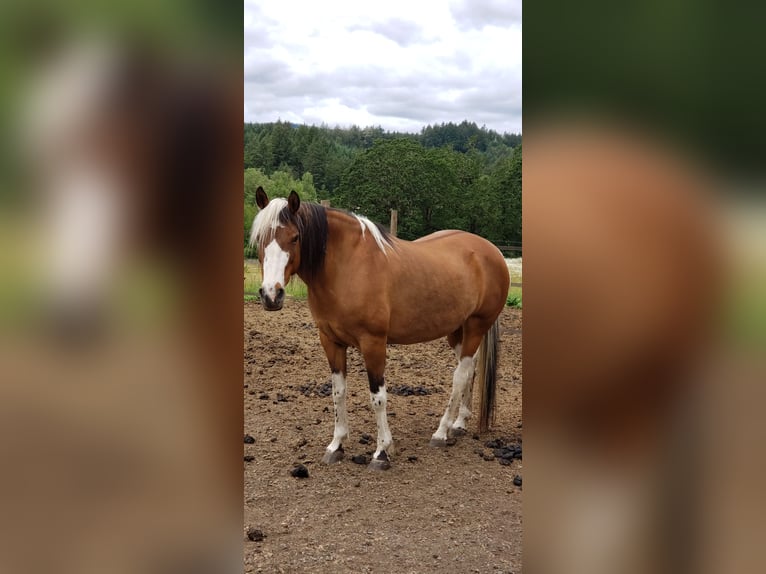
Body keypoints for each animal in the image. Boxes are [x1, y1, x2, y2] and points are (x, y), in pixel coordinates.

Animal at [251, 187, 510, 470]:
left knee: (460, 375)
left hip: (476, 326)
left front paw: (382, 452)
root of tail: (491, 251)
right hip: (457, 331)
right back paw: (459, 423)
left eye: (295, 237)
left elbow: (378, 397)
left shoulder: (373, 343)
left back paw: (441, 432)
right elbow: (338, 392)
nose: (271, 295)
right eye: (259, 238)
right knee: (470, 369)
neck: (347, 265)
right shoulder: (330, 341)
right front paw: (336, 445)